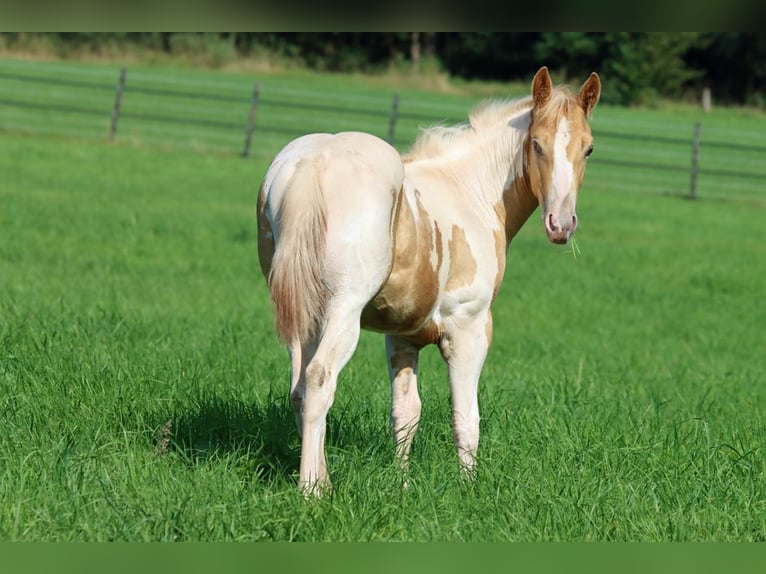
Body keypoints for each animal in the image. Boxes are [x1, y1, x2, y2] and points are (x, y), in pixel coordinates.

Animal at [260, 67, 604, 498]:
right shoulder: (469, 329)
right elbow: (466, 417)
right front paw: (469, 489)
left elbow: (406, 415)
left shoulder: (402, 336)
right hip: (343, 311)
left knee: (299, 391)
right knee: (319, 381)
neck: (471, 192)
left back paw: (322, 479)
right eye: (537, 144)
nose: (561, 224)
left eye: (588, 149)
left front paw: (402, 486)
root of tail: (314, 164)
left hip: (303, 315)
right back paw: (312, 491)